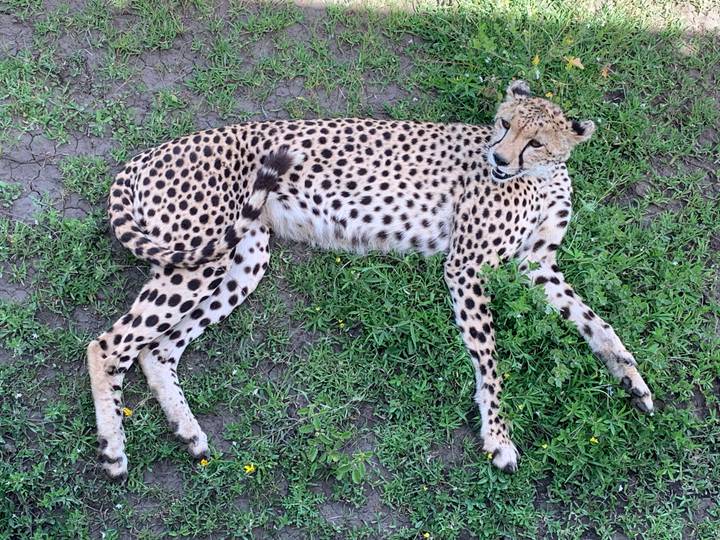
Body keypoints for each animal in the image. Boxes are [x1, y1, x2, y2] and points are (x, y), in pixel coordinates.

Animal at [87, 80, 654, 480]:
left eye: (534, 140)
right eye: (501, 123)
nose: (497, 158)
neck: (542, 176)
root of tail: (154, 150)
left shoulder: (537, 268)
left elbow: (596, 323)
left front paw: (632, 379)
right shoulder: (467, 265)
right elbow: (490, 360)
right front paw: (498, 436)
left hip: (242, 258)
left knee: (156, 349)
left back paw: (186, 431)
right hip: (202, 255)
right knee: (108, 343)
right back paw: (113, 450)